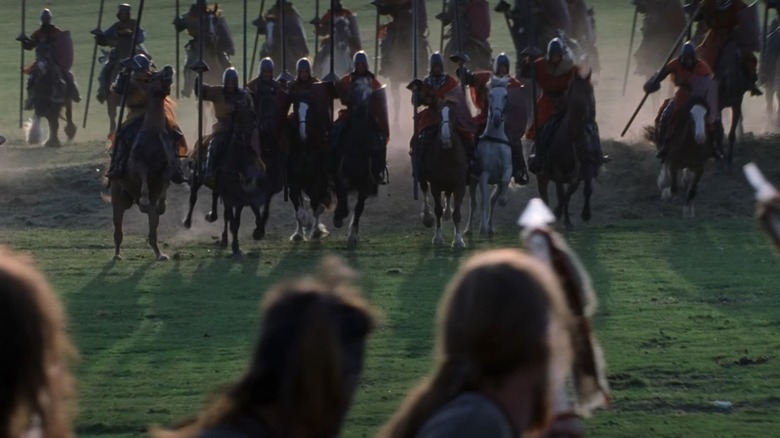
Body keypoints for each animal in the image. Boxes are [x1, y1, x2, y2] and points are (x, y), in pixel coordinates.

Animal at [109, 66, 177, 260]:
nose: (169, 69)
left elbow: (166, 178)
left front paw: (162, 203)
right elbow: (144, 173)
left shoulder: (168, 167)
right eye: (152, 77)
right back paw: (117, 254)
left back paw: (159, 254)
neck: (153, 132)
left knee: (153, 227)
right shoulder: (138, 164)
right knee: (118, 228)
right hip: (118, 198)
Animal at [466, 78, 516, 236]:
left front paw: (503, 200)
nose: (496, 119)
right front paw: (482, 227)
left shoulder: (507, 170)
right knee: (473, 203)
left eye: (506, 96)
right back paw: (468, 229)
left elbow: (501, 188)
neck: (495, 140)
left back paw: (490, 227)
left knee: (490, 200)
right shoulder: (483, 175)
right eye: (490, 95)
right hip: (472, 180)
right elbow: (483, 201)